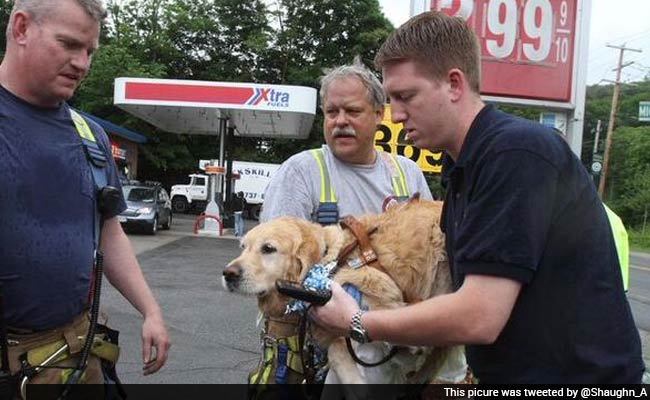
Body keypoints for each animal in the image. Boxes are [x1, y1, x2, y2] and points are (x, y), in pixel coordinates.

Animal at [223, 198, 466, 386]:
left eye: (268, 248)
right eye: (243, 247)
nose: (228, 274)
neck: (329, 260)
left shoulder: (374, 287)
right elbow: (339, 356)